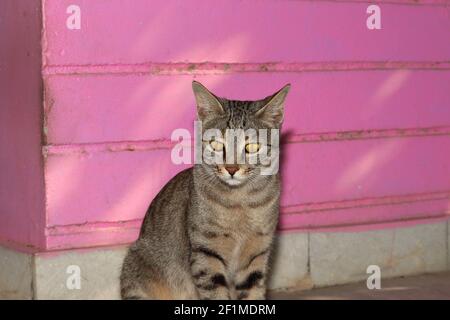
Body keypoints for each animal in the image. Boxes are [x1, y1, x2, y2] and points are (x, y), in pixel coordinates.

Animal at [119, 80, 290, 300]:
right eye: (216, 144)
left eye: (252, 146)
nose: (231, 169)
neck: (240, 202)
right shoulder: (206, 253)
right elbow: (215, 293)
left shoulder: (257, 254)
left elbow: (252, 293)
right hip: (135, 266)